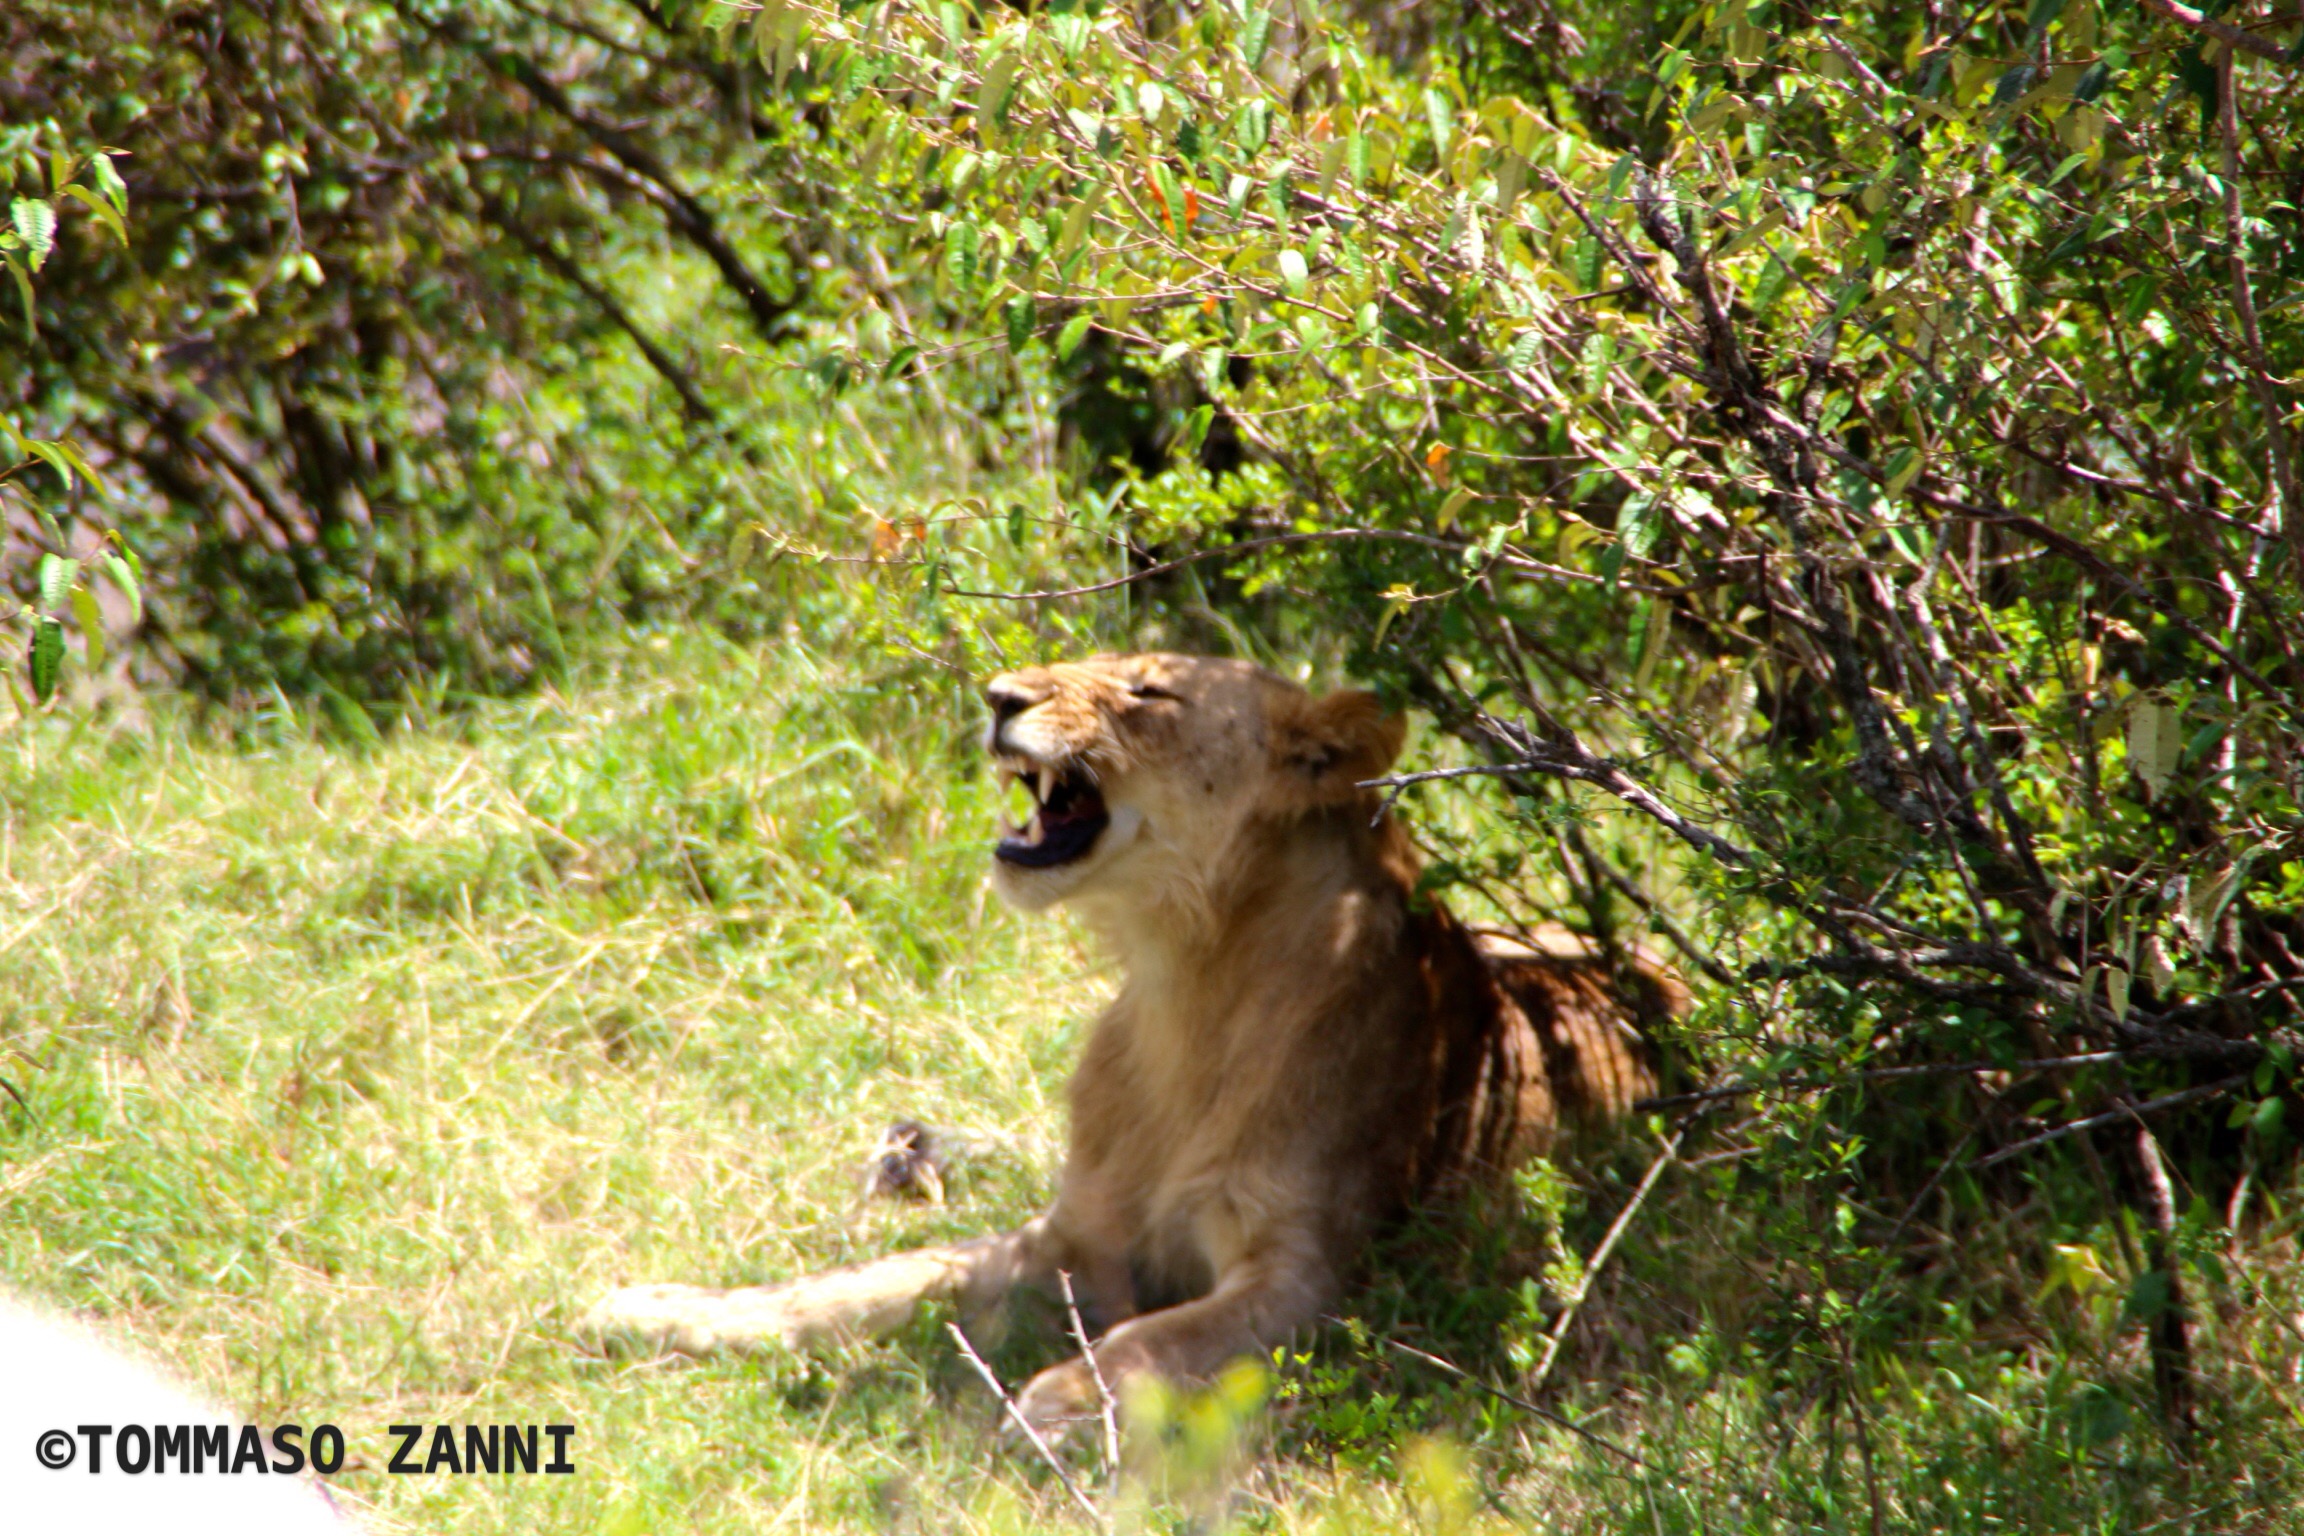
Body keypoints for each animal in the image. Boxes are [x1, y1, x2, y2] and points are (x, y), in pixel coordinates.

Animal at [582, 653, 1679, 1431]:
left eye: (1150, 690)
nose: (999, 695)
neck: (1183, 986)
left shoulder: (1307, 1274)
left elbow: (1161, 1336)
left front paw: (1059, 1401)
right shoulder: (1067, 1233)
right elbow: (874, 1279)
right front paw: (653, 1308)